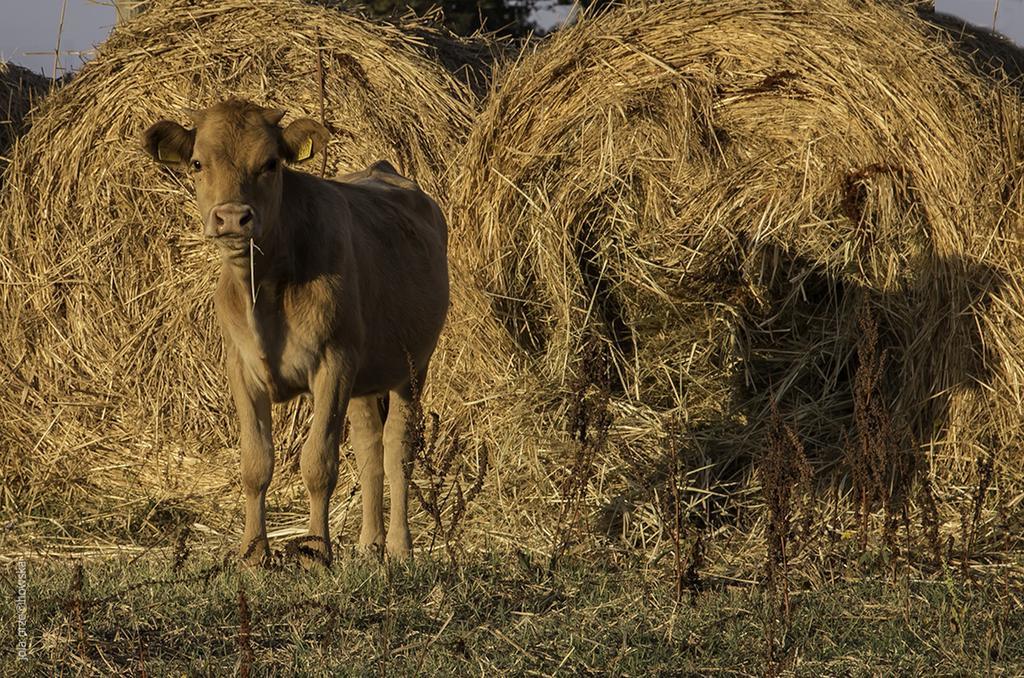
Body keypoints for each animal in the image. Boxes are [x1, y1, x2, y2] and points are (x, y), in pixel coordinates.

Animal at [143, 96, 448, 561]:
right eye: (197, 163)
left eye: (271, 163)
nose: (232, 217)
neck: (264, 291)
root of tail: (384, 170)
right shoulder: (241, 368)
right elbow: (255, 463)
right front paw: (253, 553)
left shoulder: (334, 364)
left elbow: (319, 463)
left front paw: (317, 551)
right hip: (366, 375)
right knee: (369, 447)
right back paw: (369, 543)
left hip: (413, 367)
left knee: (398, 448)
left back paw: (398, 546)